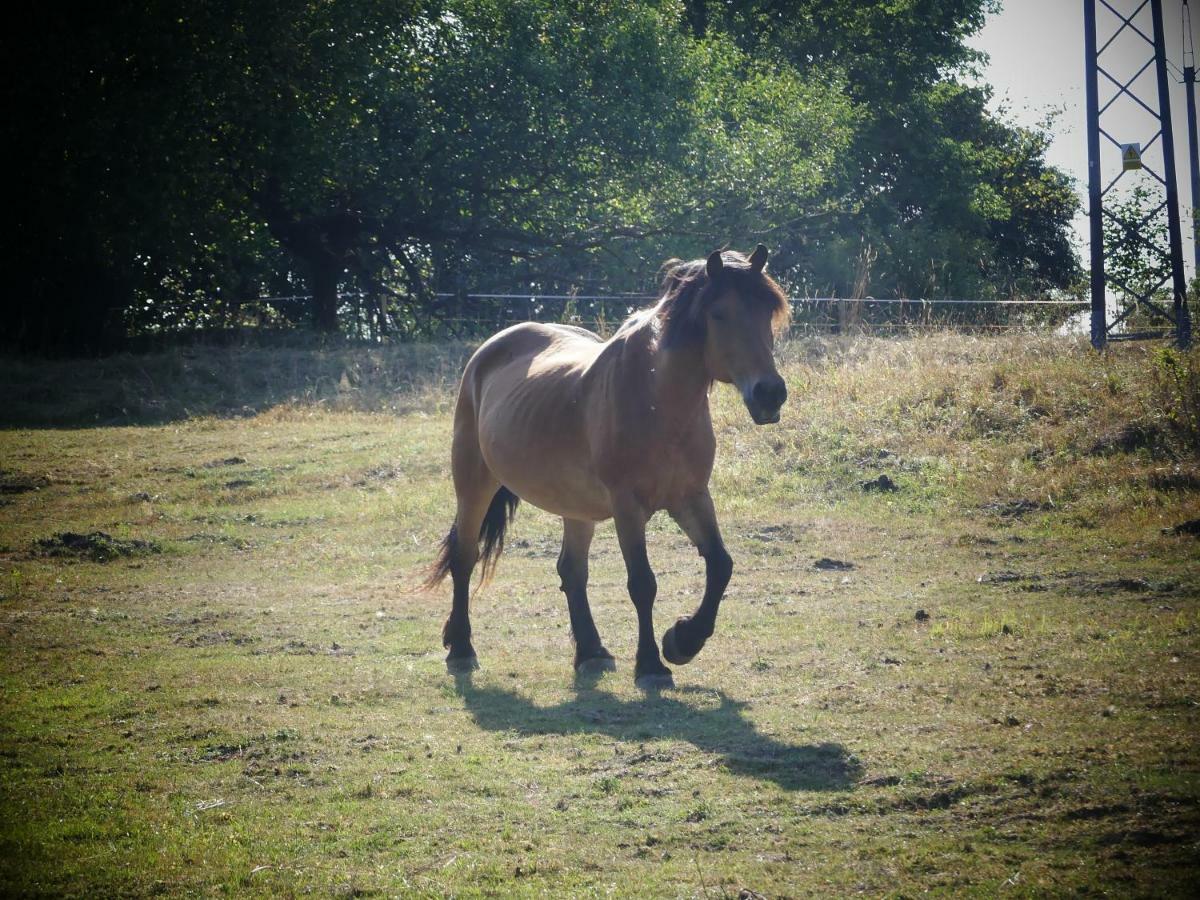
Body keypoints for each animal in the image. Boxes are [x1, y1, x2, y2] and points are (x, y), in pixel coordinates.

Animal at [427, 247, 792, 691]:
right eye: (719, 313)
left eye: (767, 312)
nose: (769, 393)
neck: (656, 400)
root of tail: (489, 350)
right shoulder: (627, 506)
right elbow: (643, 583)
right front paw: (652, 665)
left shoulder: (691, 496)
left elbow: (720, 565)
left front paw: (682, 641)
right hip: (474, 484)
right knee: (465, 557)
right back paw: (462, 648)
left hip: (576, 508)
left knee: (572, 571)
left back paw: (591, 652)